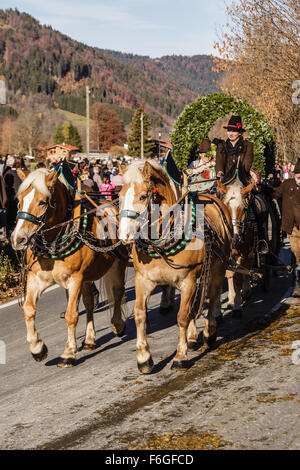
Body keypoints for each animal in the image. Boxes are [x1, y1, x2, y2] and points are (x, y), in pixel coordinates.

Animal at [10, 168, 127, 368]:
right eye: (19, 201)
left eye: (42, 202)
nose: (18, 239)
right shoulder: (36, 278)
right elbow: (29, 309)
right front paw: (37, 348)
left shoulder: (75, 279)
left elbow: (71, 315)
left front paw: (68, 353)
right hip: (87, 278)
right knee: (89, 302)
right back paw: (89, 340)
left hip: (118, 264)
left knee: (118, 293)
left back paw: (117, 324)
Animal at [117, 160, 232, 372]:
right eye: (120, 196)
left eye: (143, 196)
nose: (124, 235)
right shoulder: (142, 280)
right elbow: (140, 314)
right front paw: (144, 358)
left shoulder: (188, 280)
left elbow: (182, 316)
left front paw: (180, 356)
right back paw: (193, 337)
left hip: (217, 268)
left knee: (212, 297)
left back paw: (209, 332)